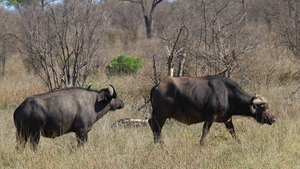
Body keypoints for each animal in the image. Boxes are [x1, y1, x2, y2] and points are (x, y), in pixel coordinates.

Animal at [148, 76, 276, 145]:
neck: (227, 95)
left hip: (158, 116)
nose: (273, 119)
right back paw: (160, 144)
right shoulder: (210, 117)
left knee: (152, 125)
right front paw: (201, 146)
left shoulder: (227, 119)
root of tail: (157, 86)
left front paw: (239, 143)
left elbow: (233, 132)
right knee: (156, 128)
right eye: (264, 108)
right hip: (161, 116)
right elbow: (205, 132)